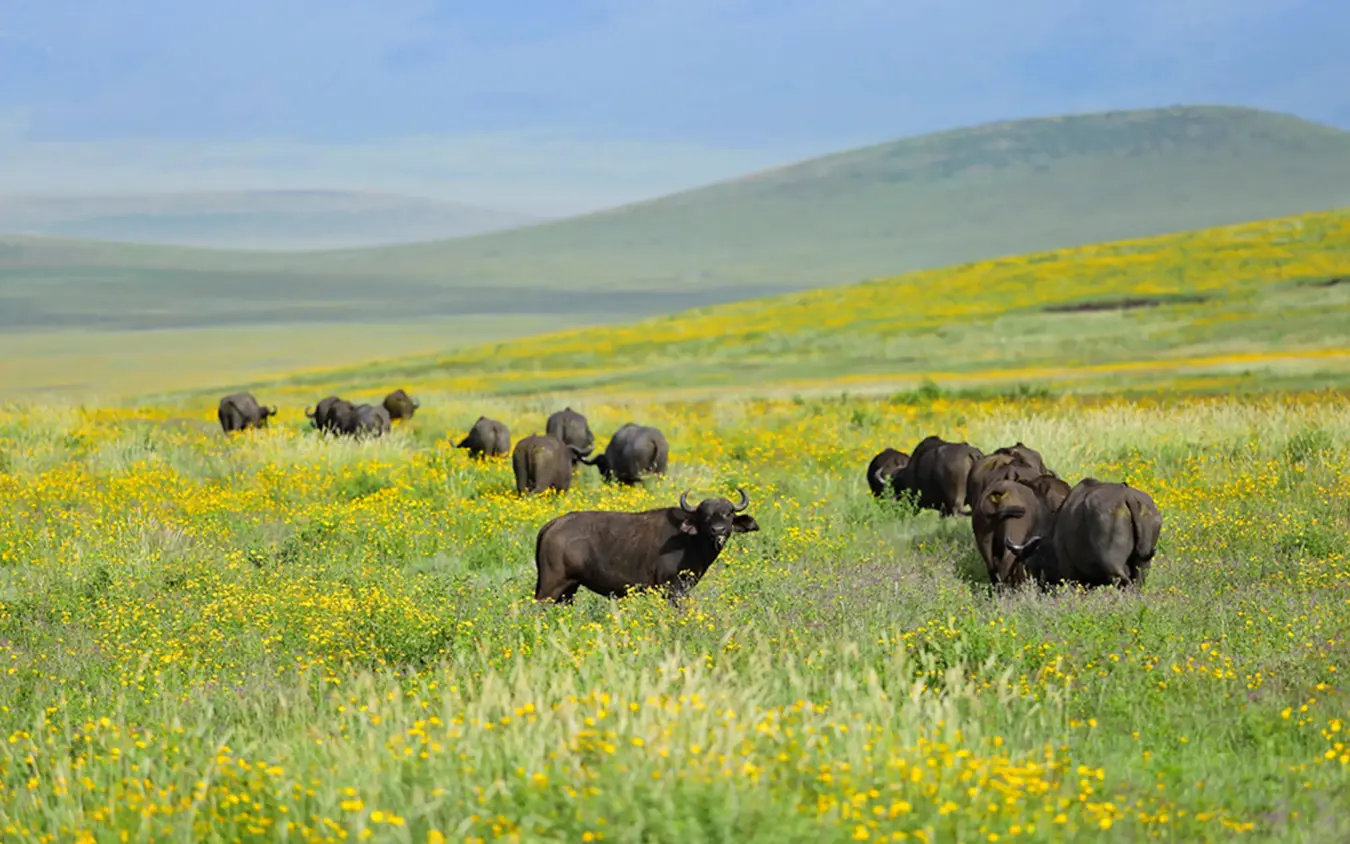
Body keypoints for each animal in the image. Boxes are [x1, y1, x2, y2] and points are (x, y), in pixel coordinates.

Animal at [534, 489, 759, 605]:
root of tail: (554, 523)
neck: (690, 541)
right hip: (549, 587)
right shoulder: (673, 590)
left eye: (729, 513)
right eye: (705, 515)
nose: (718, 530)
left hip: (569, 589)